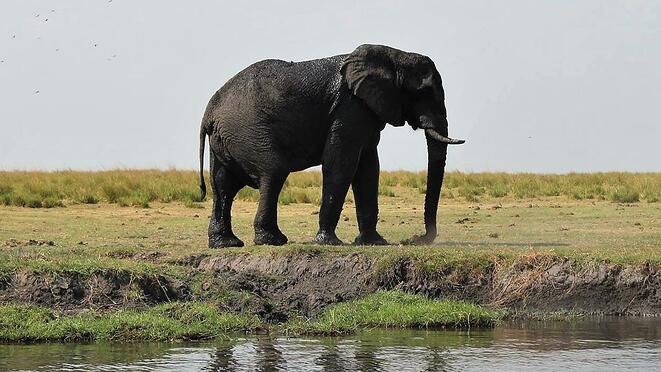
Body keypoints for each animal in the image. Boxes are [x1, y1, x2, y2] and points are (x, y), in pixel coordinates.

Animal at [199, 44, 462, 247]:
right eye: (423, 92)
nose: (415, 239)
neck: (392, 56)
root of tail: (209, 112)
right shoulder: (350, 108)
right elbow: (341, 164)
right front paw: (329, 242)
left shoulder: (365, 111)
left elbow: (368, 169)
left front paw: (374, 242)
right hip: (247, 131)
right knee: (272, 173)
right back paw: (273, 241)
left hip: (224, 139)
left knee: (223, 184)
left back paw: (226, 244)